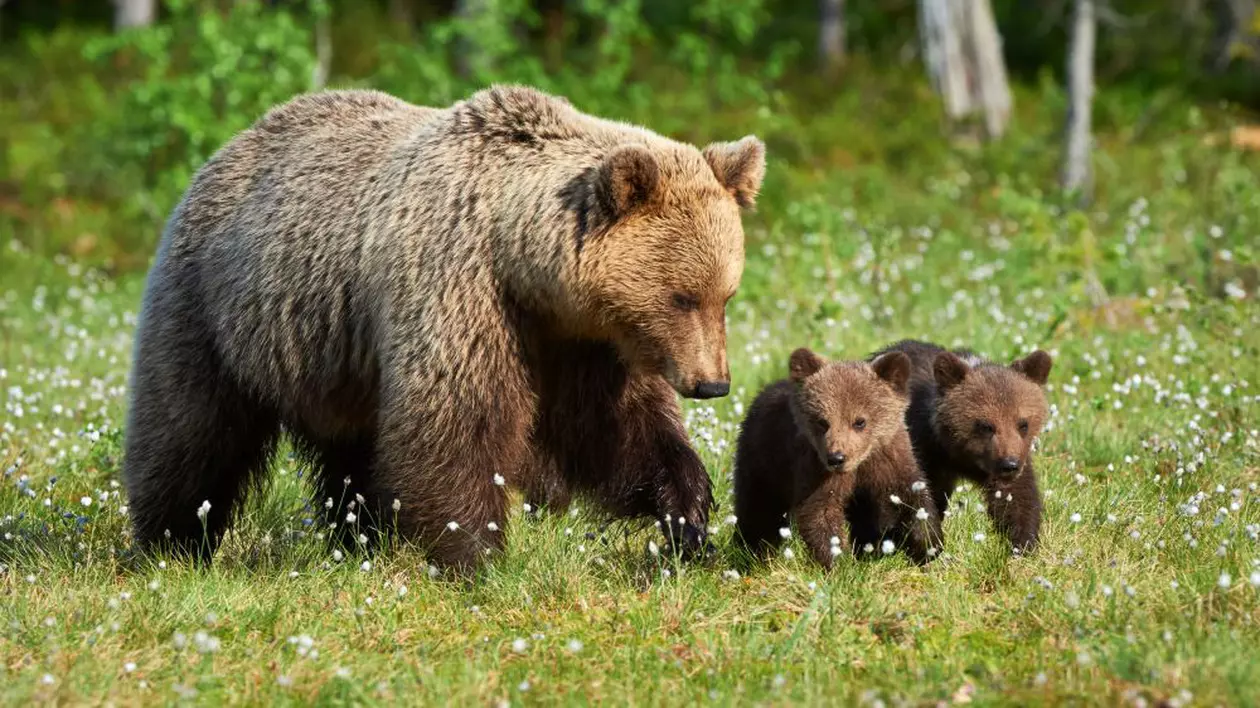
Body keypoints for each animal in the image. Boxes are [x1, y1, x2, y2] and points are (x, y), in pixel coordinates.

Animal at [122, 83, 761, 566]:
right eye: (682, 297)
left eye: (724, 295)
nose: (713, 383)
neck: (523, 265)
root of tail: (229, 146)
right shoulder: (460, 288)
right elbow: (455, 422)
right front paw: (476, 553)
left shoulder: (582, 342)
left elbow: (615, 428)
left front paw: (688, 515)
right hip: (219, 309)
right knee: (191, 431)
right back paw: (172, 543)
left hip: (338, 358)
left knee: (352, 455)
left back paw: (357, 539)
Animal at [735, 347, 942, 566]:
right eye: (822, 421)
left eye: (860, 421)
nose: (836, 458)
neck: (860, 461)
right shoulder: (815, 468)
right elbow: (820, 512)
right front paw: (838, 562)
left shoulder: (889, 458)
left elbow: (911, 496)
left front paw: (928, 545)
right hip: (764, 463)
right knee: (758, 512)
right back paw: (751, 553)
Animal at [866, 340, 1053, 549]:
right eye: (986, 425)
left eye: (1023, 424)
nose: (1009, 465)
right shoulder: (921, 447)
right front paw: (928, 541)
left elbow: (1017, 496)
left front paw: (1023, 542)